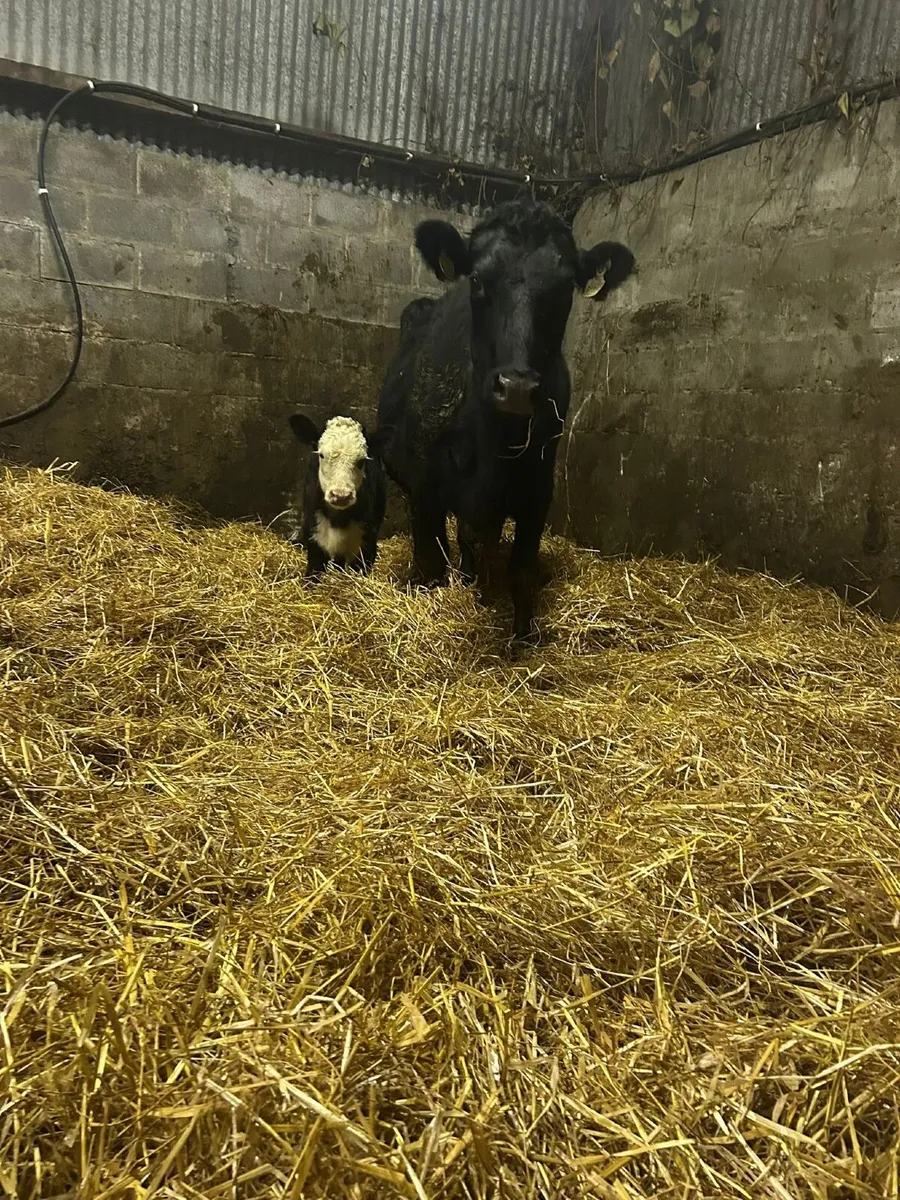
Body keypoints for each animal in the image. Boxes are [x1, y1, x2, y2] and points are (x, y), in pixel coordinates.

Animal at [288, 413, 387, 577]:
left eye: (361, 461)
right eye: (321, 455)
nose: (341, 496)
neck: (339, 520)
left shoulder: (367, 545)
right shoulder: (315, 541)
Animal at [375, 197, 635, 645]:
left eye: (564, 287)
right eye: (478, 278)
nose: (516, 386)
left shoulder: (536, 492)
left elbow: (520, 571)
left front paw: (523, 639)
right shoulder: (426, 487)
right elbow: (430, 562)